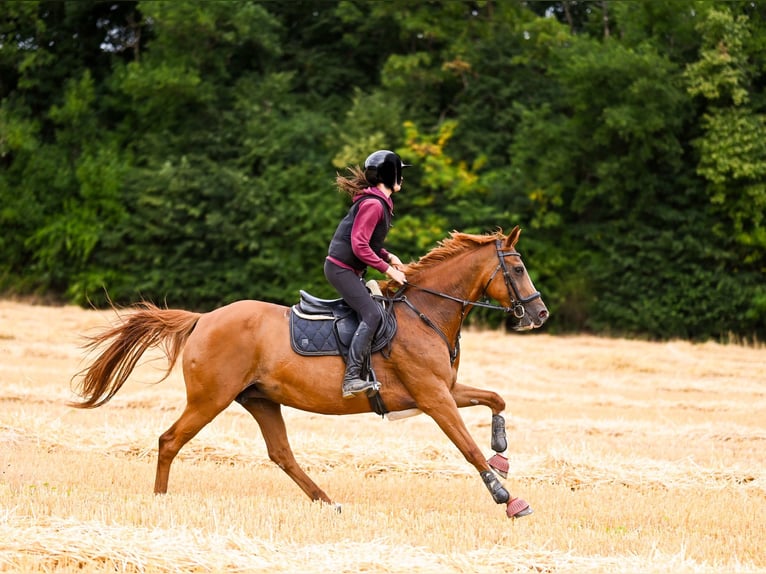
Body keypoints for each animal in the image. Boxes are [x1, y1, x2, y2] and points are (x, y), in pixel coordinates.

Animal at [71, 225, 548, 518]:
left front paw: (502, 452)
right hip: (211, 398)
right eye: (518, 268)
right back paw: (160, 501)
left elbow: (496, 399)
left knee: (282, 454)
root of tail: (203, 319)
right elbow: (467, 448)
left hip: (260, 400)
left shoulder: (444, 389)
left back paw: (327, 502)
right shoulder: (434, 398)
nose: (540, 313)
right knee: (170, 440)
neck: (425, 312)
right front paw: (508, 498)